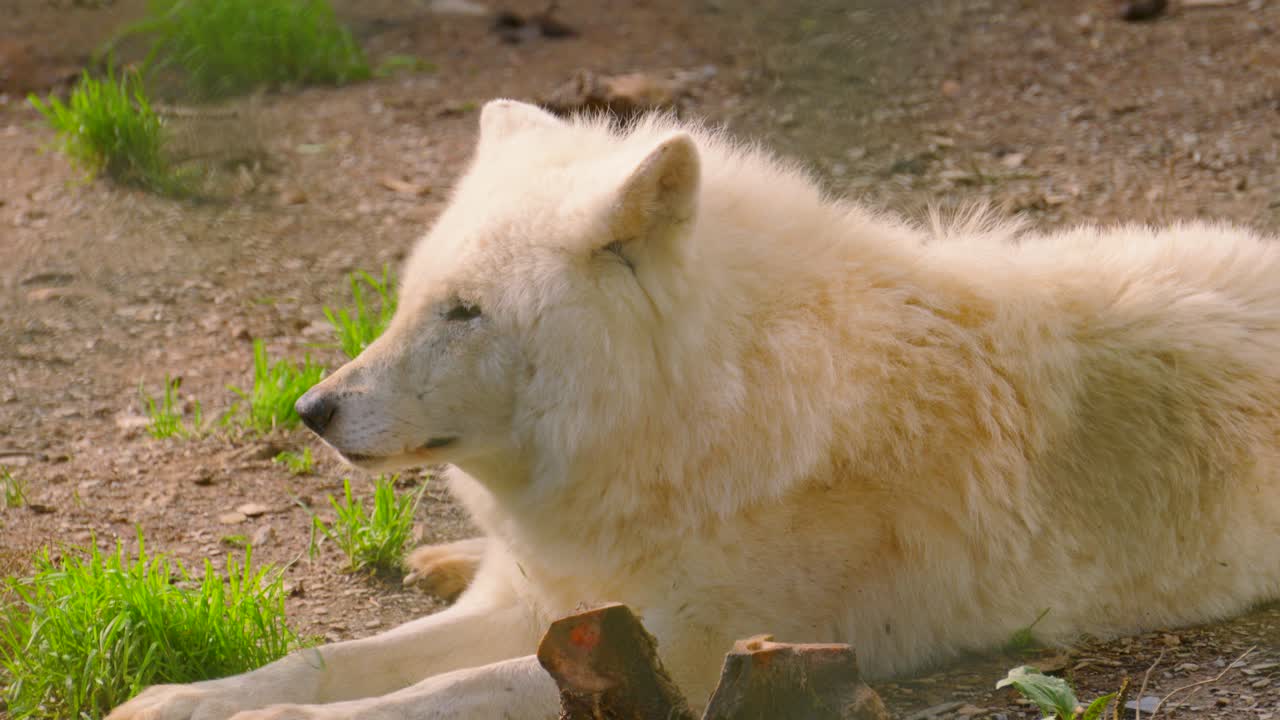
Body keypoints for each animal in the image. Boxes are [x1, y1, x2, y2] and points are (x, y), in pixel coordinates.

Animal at [107, 100, 1280, 720]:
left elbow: (406, 702)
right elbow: (323, 661)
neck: (694, 415)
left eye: (464, 312)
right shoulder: (543, 601)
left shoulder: (669, 657)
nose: (311, 410)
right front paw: (174, 702)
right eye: (408, 302)